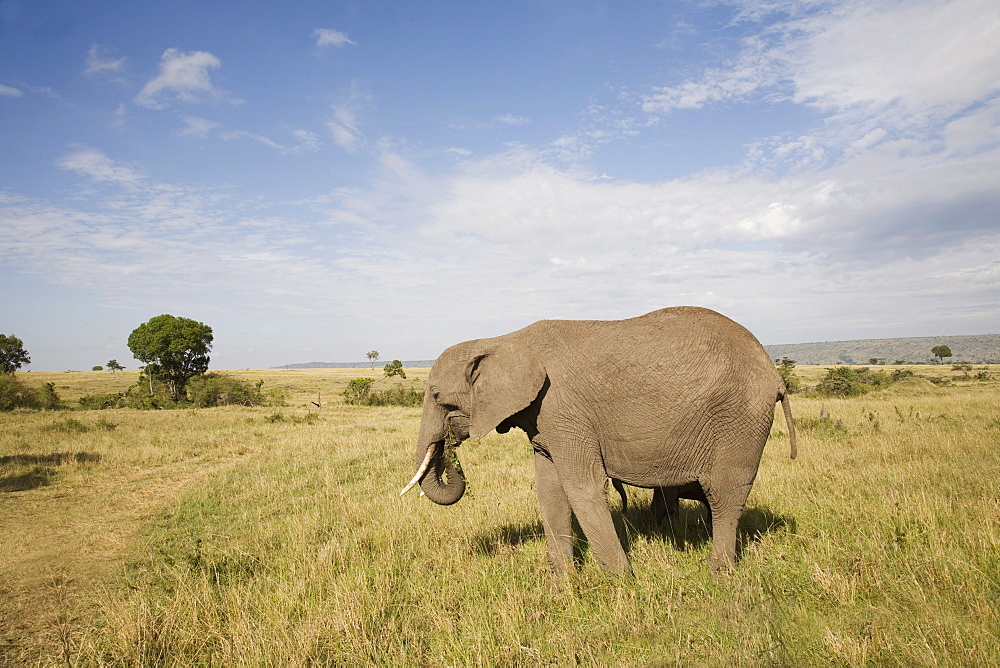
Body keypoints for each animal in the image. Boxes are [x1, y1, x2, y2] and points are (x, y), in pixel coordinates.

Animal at [398, 306, 796, 576]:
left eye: (437, 397)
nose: (450, 448)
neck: (503, 340)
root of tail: (774, 372)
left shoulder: (563, 409)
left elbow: (582, 486)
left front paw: (621, 583)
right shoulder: (545, 419)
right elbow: (549, 489)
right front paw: (562, 584)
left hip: (739, 417)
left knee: (725, 494)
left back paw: (719, 575)